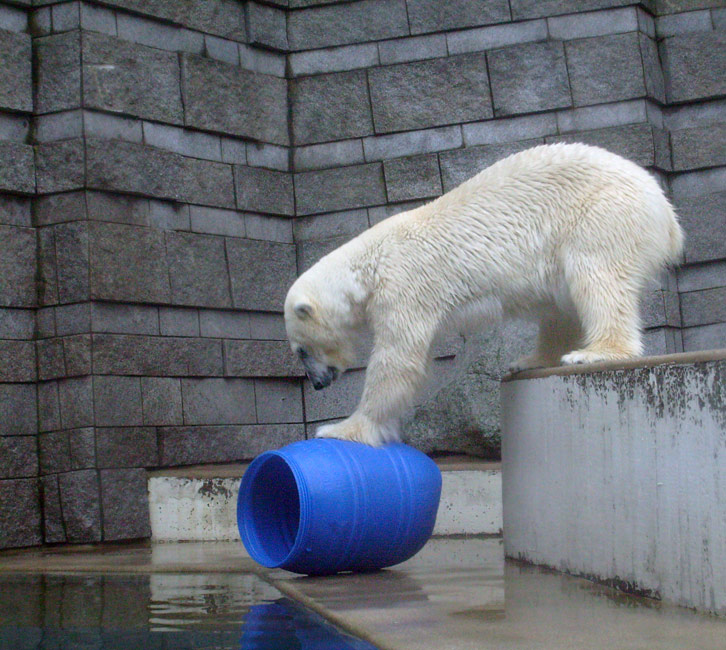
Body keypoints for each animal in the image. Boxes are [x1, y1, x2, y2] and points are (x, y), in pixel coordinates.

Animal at [284, 143, 684, 446]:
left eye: (301, 350)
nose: (318, 384)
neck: (368, 266)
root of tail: (667, 213)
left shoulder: (403, 287)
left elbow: (397, 360)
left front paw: (339, 428)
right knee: (561, 307)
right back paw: (532, 359)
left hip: (601, 215)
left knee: (597, 278)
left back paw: (595, 352)